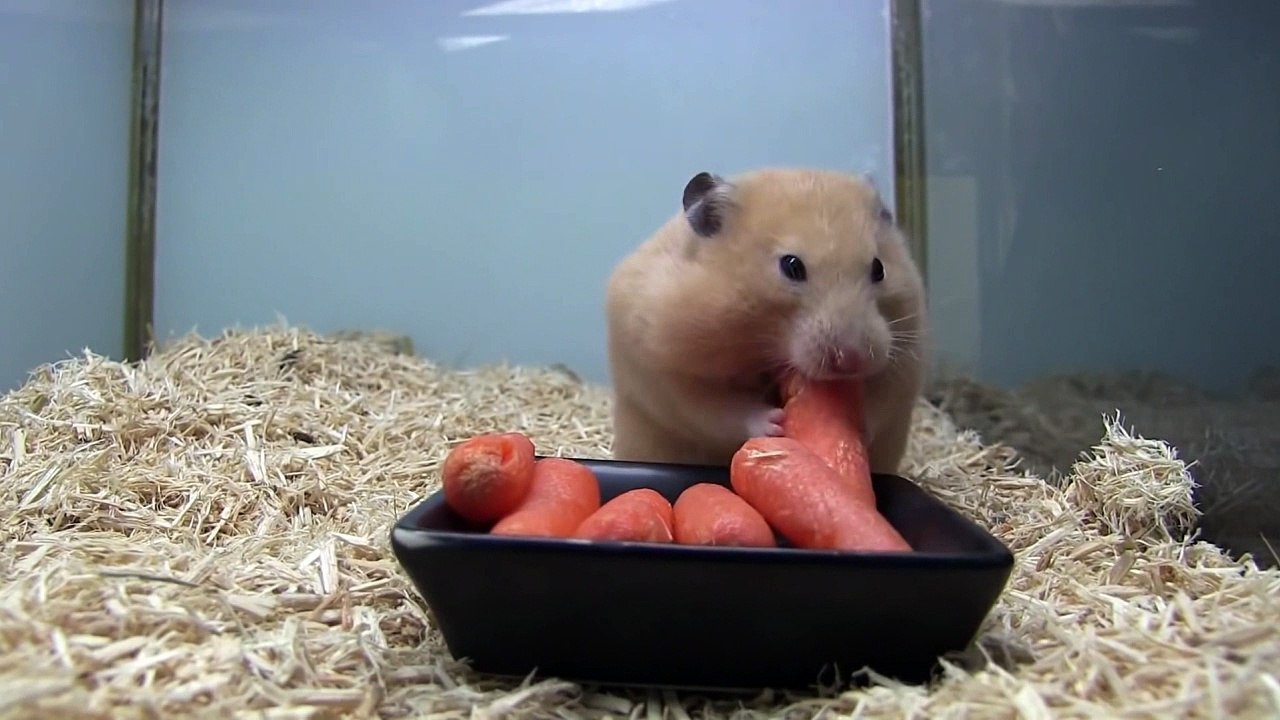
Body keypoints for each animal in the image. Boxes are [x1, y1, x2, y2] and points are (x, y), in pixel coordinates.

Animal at [604, 167, 928, 474]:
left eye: (879, 268)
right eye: (791, 266)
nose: (852, 360)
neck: (762, 342)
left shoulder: (905, 361)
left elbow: (881, 400)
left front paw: (856, 426)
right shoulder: (667, 370)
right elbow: (715, 409)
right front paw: (775, 425)